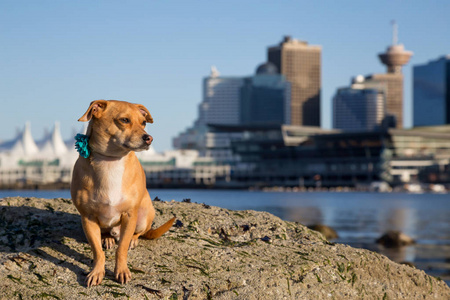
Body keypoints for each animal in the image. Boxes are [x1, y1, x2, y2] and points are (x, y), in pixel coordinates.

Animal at [71, 100, 175, 286]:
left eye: (144, 123)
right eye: (125, 120)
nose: (149, 138)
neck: (111, 161)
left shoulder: (129, 216)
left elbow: (122, 249)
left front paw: (121, 270)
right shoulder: (88, 219)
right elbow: (97, 251)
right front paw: (97, 272)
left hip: (144, 216)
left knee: (138, 233)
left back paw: (133, 239)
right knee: (105, 235)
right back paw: (107, 238)